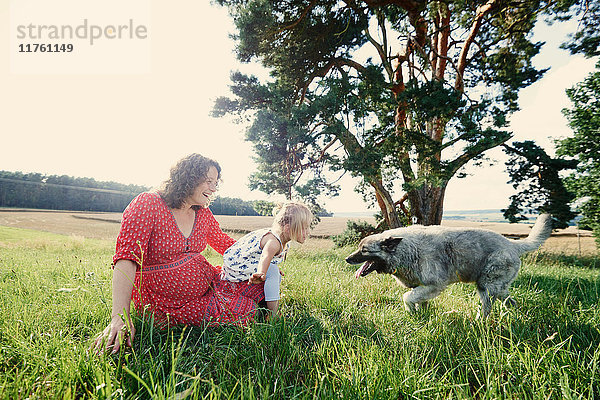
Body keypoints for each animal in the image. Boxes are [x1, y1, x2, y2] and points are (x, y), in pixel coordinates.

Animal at [346, 214, 552, 318]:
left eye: (364, 250)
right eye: (359, 248)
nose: (348, 259)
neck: (405, 249)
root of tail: (512, 244)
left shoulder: (433, 285)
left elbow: (407, 297)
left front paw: (411, 311)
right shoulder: (422, 287)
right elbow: (419, 301)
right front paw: (421, 316)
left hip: (486, 287)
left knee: (487, 307)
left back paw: (479, 322)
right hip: (493, 287)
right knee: (509, 301)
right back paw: (513, 314)